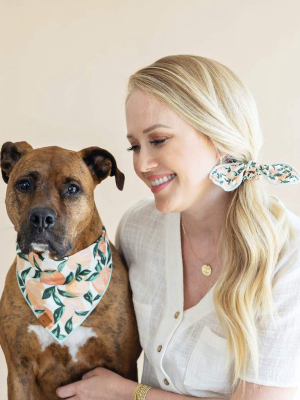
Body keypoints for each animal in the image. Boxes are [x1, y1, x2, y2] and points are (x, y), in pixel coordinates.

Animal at [0, 142, 141, 400]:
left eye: (72, 189)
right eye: (24, 184)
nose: (41, 217)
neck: (57, 275)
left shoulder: (122, 366)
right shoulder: (18, 370)